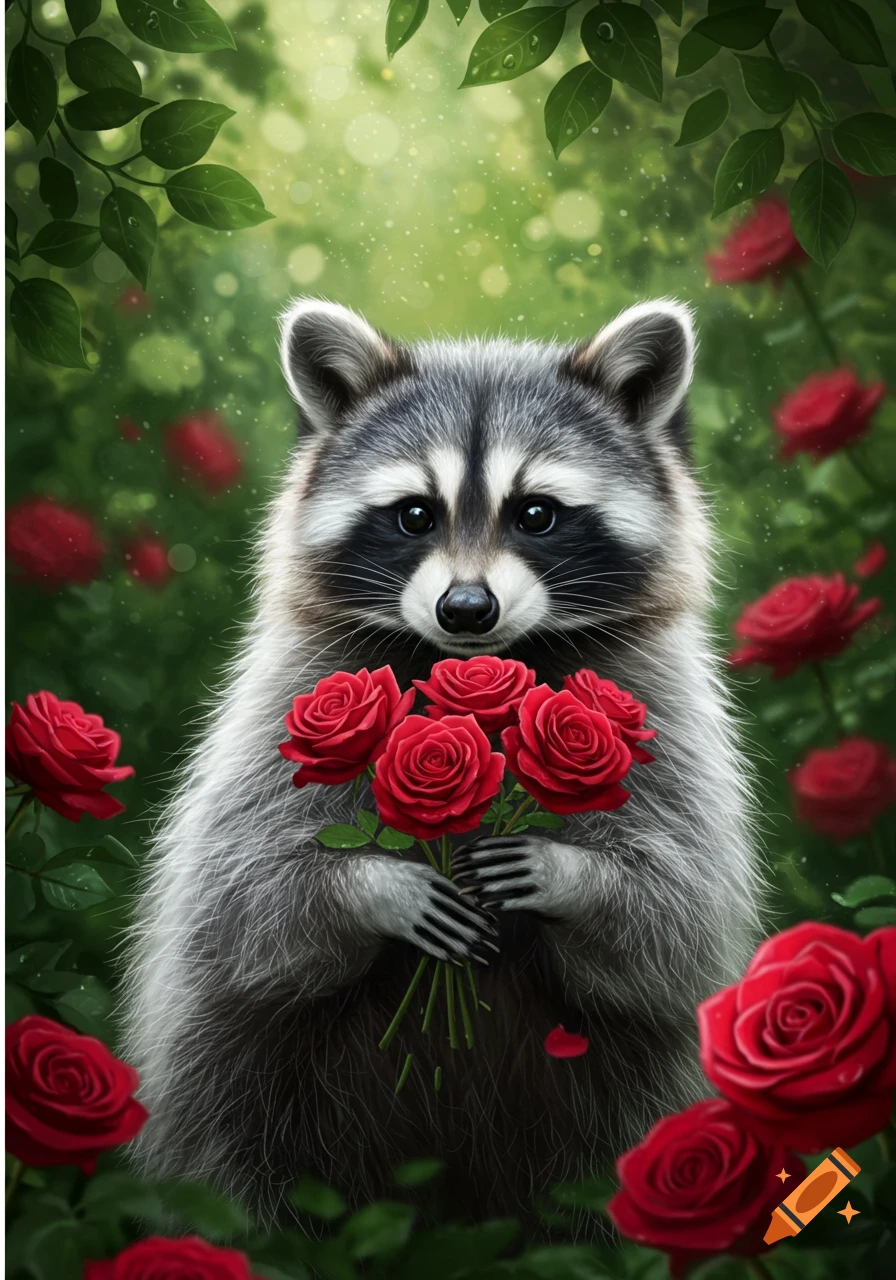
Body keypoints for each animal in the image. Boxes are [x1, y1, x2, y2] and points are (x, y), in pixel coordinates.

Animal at [123, 298, 761, 1231]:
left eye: (537, 513)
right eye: (414, 514)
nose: (466, 610)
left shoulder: (658, 708)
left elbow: (675, 915)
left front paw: (560, 872)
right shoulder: (292, 697)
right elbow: (247, 902)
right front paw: (378, 889)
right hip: (241, 1079)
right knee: (235, 1154)